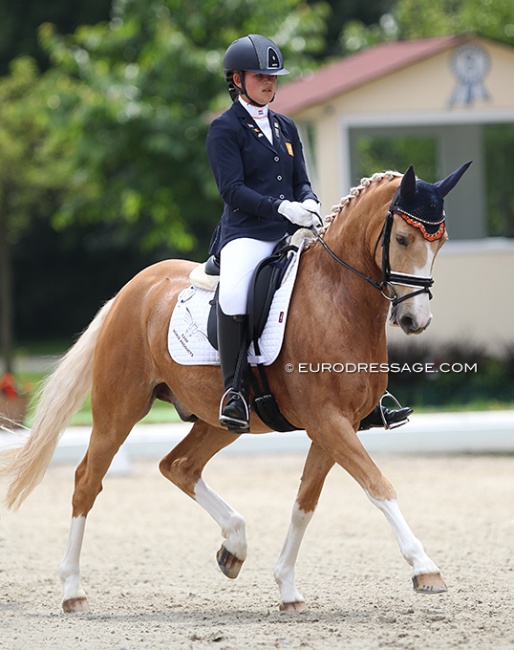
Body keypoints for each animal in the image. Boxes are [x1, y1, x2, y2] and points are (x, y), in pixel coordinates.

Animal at [1, 163, 468, 612]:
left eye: (441, 242)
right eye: (403, 238)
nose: (415, 320)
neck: (338, 300)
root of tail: (131, 291)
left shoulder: (337, 426)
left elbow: (305, 503)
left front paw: (287, 588)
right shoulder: (328, 422)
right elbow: (378, 485)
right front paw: (425, 568)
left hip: (219, 419)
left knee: (179, 465)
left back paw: (234, 546)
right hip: (119, 409)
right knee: (87, 481)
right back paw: (72, 590)